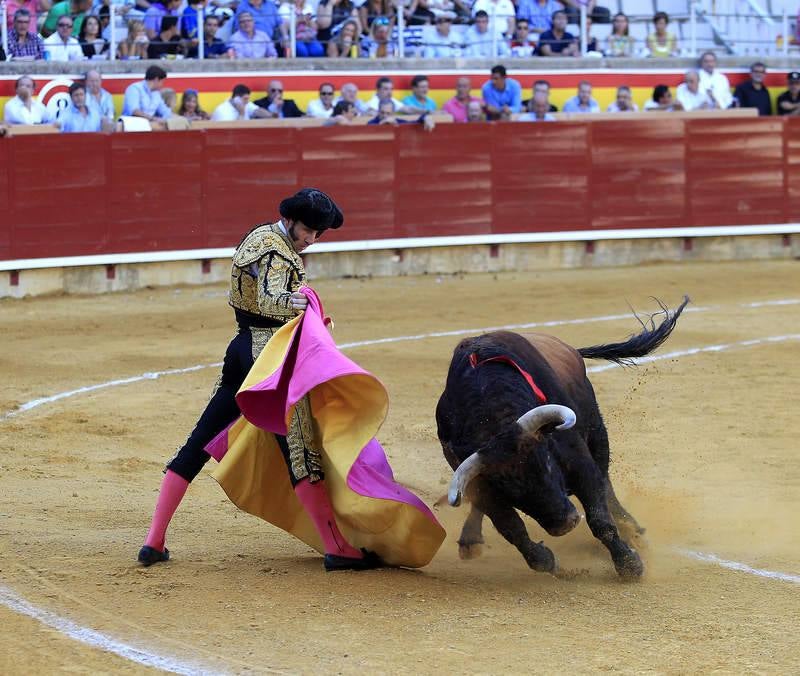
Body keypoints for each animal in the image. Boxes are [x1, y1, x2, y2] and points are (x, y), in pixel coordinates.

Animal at [434, 298, 692, 580]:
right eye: (507, 488)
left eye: (547, 462)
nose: (564, 523)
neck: (492, 412)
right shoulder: (482, 485)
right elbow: (511, 528)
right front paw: (544, 560)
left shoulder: (579, 463)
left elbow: (599, 518)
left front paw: (629, 564)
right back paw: (470, 540)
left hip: (597, 432)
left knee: (606, 483)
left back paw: (632, 529)